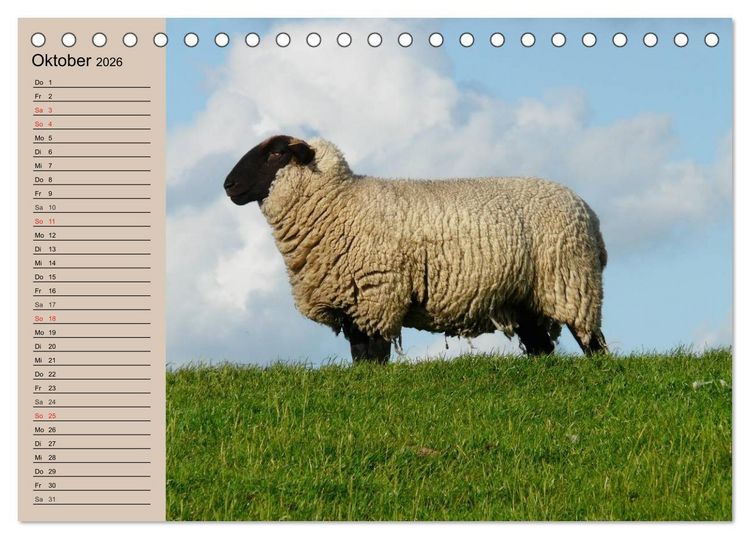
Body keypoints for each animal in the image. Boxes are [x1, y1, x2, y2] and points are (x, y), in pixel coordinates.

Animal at [223, 134, 608, 363]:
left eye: (276, 153)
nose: (228, 185)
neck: (338, 203)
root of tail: (588, 212)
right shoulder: (353, 303)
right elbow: (360, 355)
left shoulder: (377, 295)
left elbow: (374, 354)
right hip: (526, 296)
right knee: (541, 347)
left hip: (572, 281)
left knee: (591, 338)